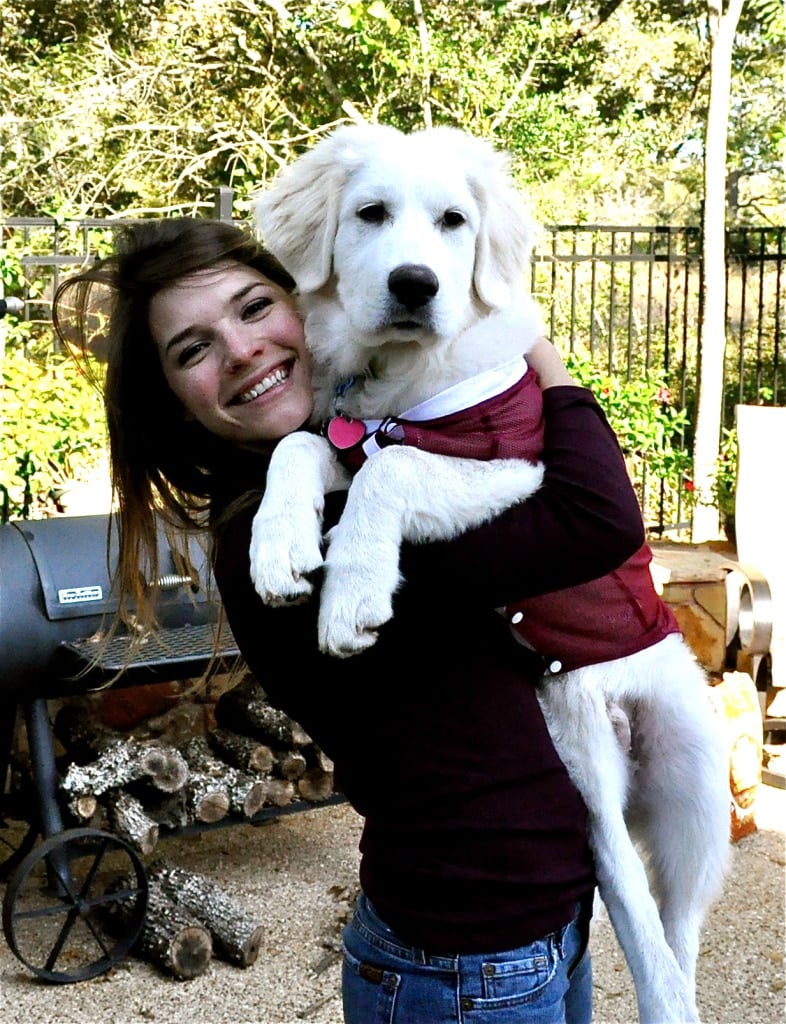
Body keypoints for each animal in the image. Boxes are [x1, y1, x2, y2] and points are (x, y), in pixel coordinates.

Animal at [247, 125, 728, 1024]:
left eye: (453, 222)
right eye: (370, 213)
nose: (415, 284)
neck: (401, 382)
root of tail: (620, 715)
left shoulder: (519, 469)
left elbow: (390, 470)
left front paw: (351, 599)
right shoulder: (352, 435)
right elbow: (302, 445)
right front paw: (278, 547)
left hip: (696, 799)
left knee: (669, 937)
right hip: (589, 770)